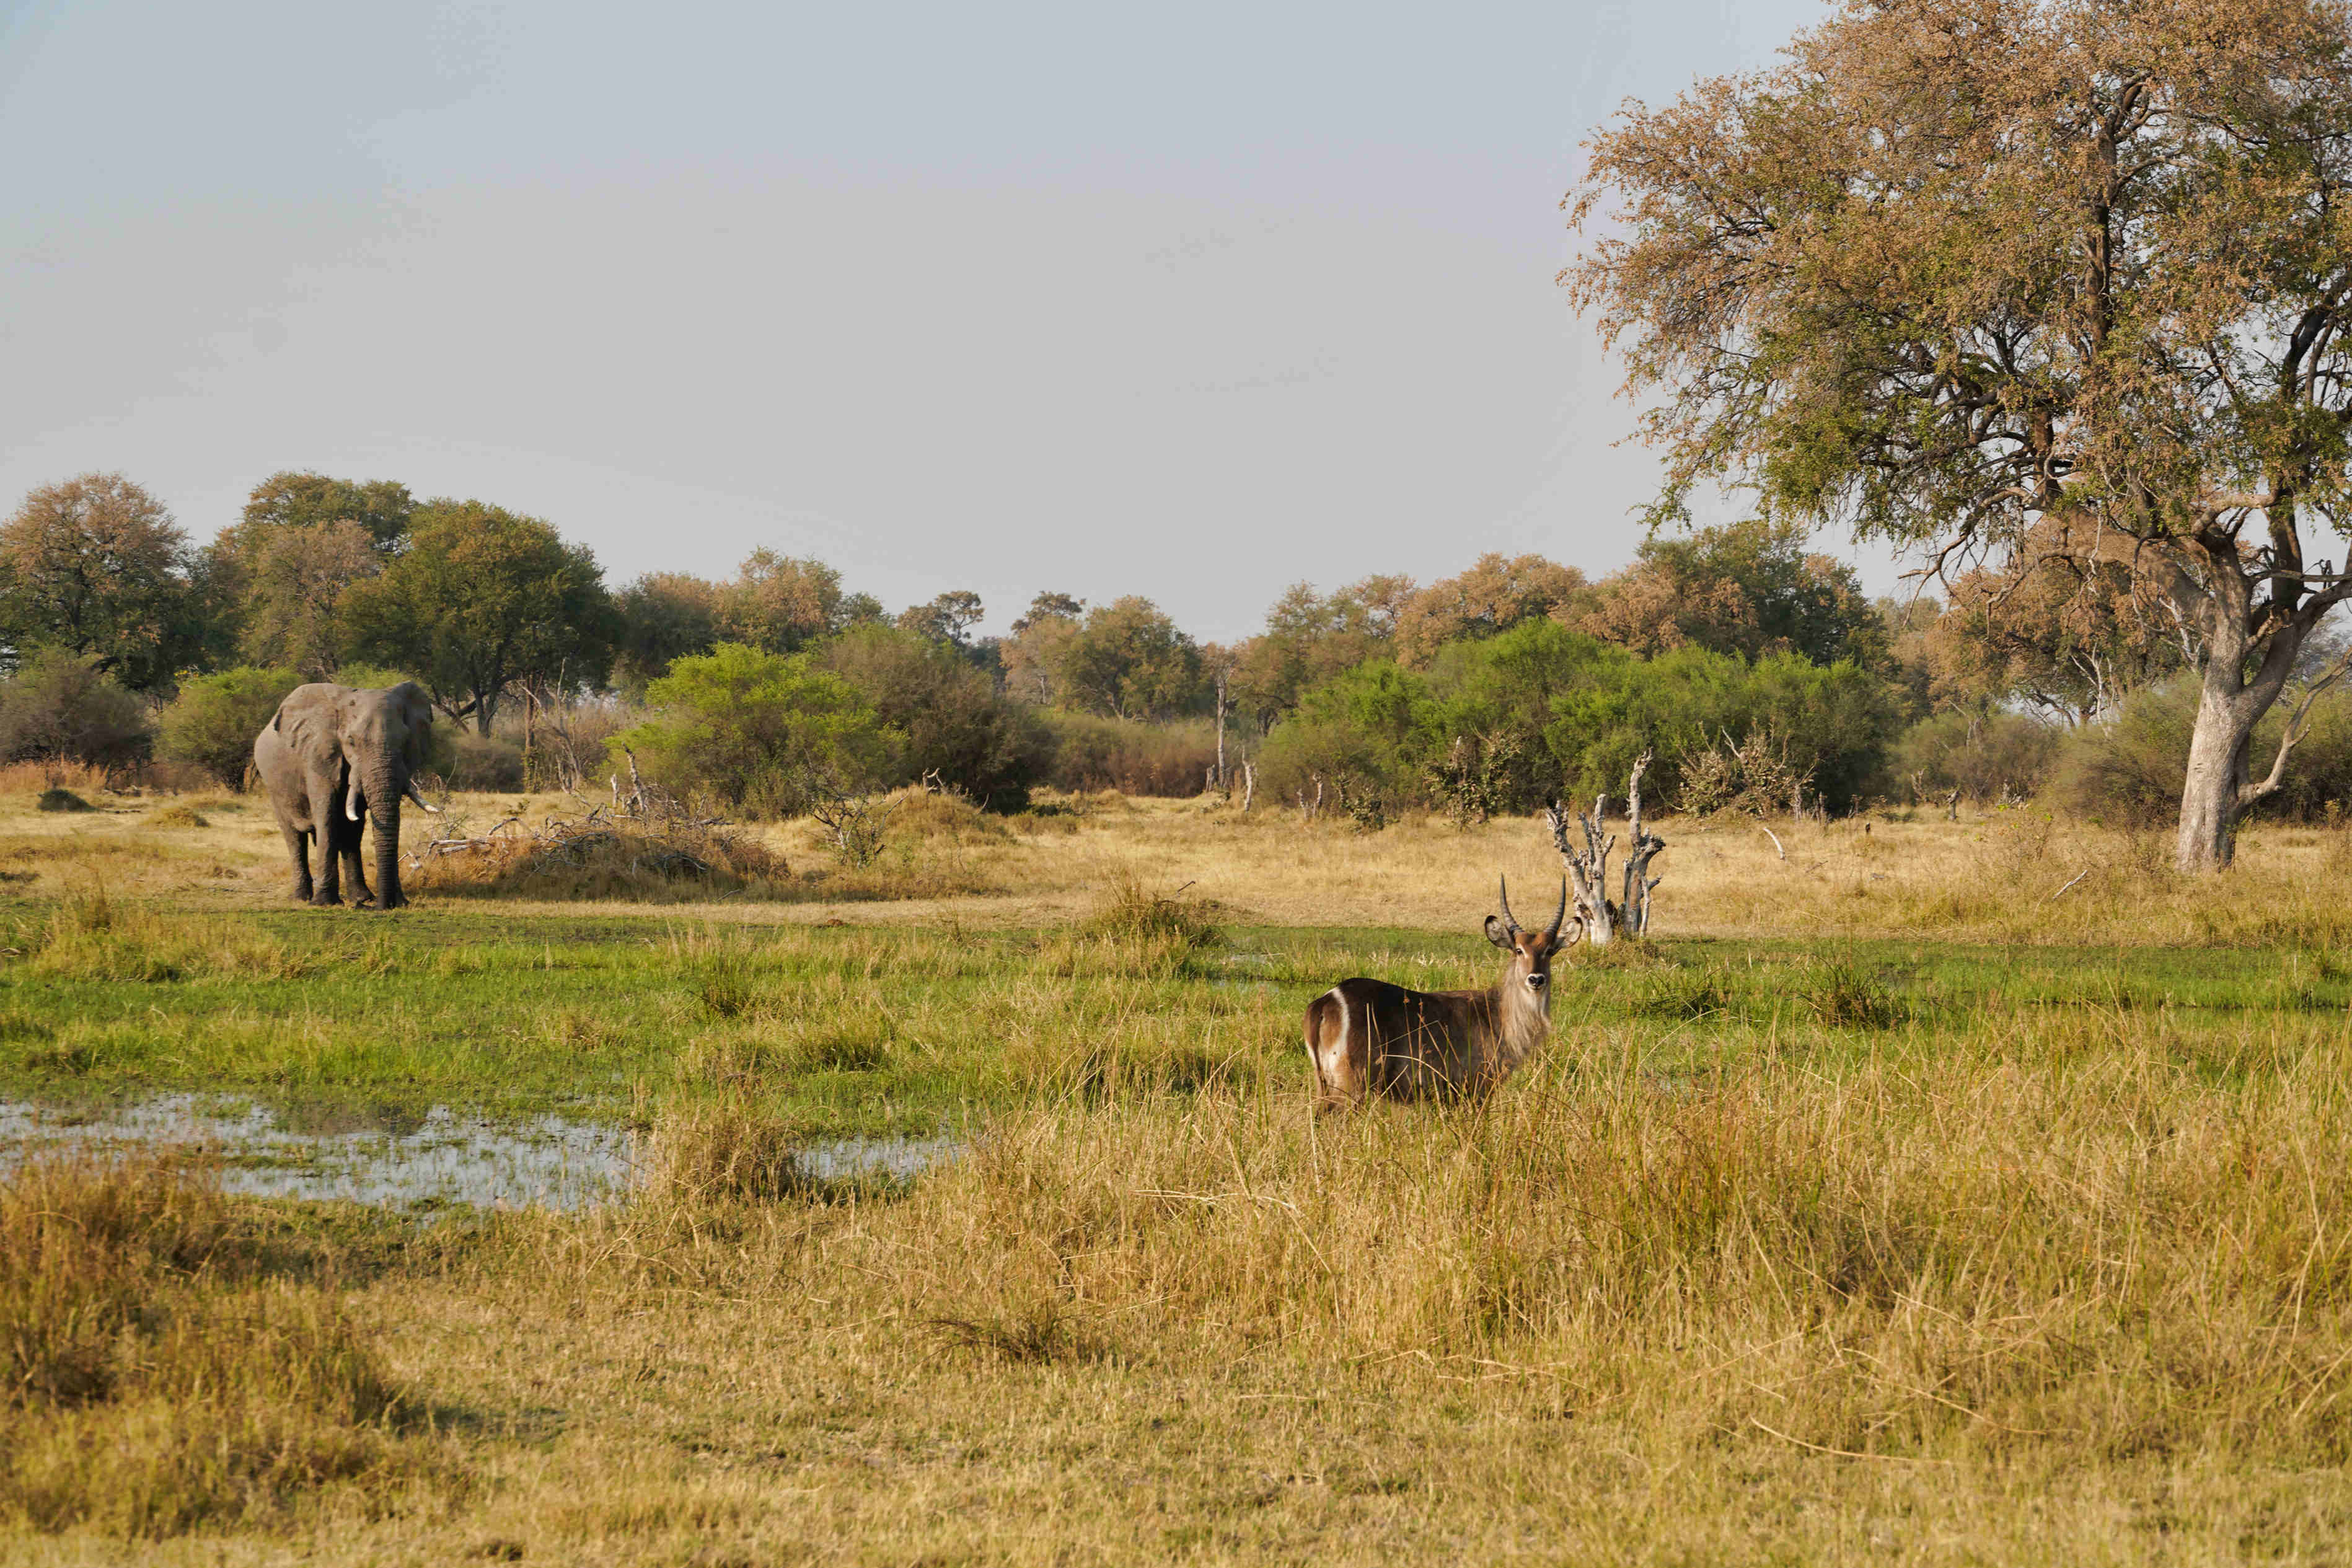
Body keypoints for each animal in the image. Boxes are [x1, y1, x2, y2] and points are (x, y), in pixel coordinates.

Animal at [253, 682, 442, 907]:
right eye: (351, 741)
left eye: (405, 741)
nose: (384, 906)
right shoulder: (318, 755)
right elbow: (327, 816)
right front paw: (324, 903)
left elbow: (354, 824)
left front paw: (381, 901)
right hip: (273, 785)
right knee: (294, 836)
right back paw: (301, 897)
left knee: (349, 833)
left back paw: (360, 897)